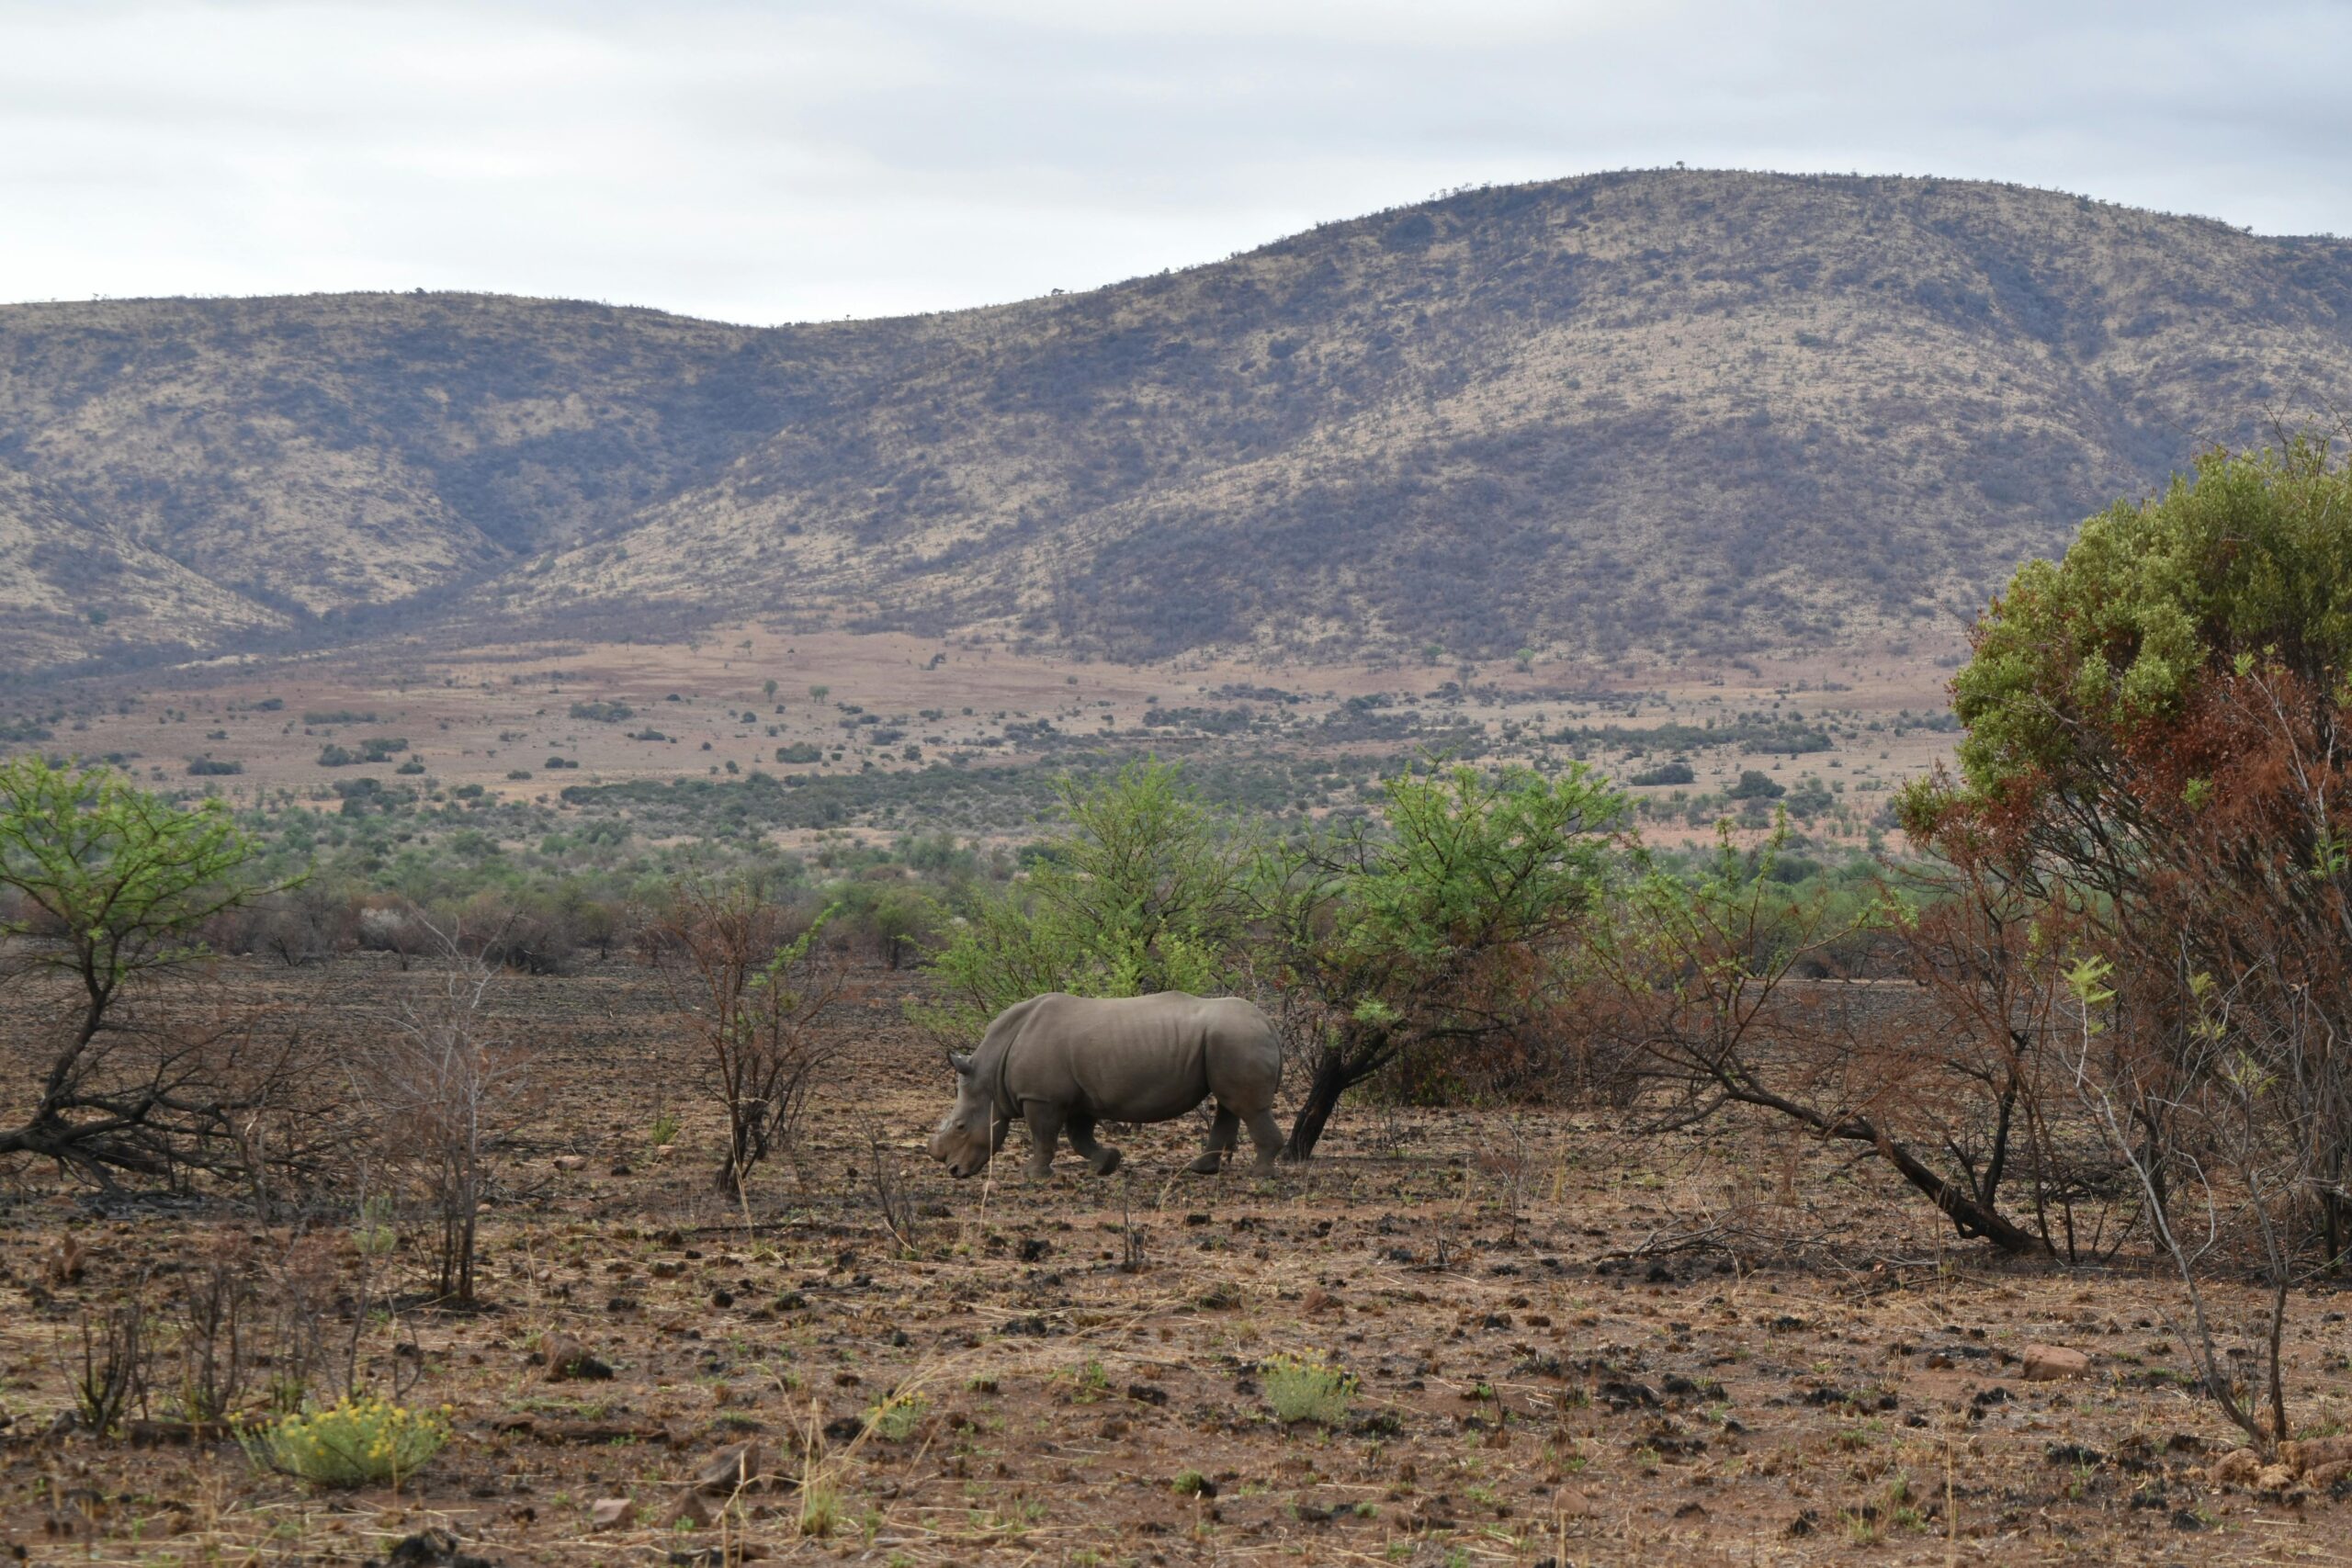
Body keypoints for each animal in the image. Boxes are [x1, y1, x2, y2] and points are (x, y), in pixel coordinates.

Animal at [928, 992, 1285, 1179]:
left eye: (960, 1126)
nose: (954, 1171)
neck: (990, 1071)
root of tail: (1269, 1024)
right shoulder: (1076, 1097)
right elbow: (1079, 1137)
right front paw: (1107, 1163)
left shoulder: (1041, 1098)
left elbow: (1043, 1135)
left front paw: (1033, 1173)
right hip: (1230, 1041)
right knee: (1229, 1103)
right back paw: (1200, 1169)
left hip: (1238, 1039)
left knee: (1247, 1107)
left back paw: (1259, 1173)